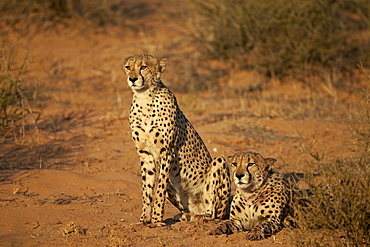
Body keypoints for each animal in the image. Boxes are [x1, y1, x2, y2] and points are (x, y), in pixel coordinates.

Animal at [123, 55, 230, 227]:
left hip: (219, 164)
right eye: (128, 67)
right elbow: (147, 189)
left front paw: (156, 219)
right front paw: (143, 219)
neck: (144, 97)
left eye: (143, 67)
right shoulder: (145, 154)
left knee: (214, 214)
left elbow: (158, 189)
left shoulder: (166, 152)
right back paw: (185, 215)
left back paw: (201, 217)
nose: (132, 79)